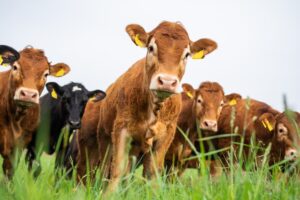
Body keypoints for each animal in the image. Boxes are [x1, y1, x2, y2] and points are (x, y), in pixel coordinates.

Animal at [77, 20, 218, 192]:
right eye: (151, 48)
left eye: (187, 55)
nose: (167, 82)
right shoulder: (121, 130)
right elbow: (117, 170)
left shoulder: (165, 136)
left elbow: (152, 173)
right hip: (95, 143)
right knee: (94, 171)